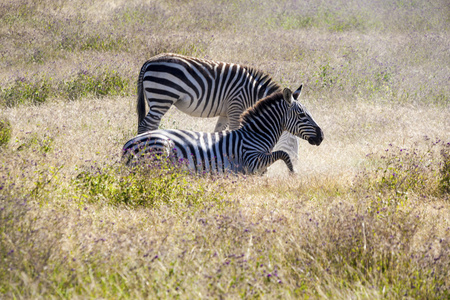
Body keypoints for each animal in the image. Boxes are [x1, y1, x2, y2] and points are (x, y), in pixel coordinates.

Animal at [122, 86, 324, 176]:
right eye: (302, 115)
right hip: (160, 149)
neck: (255, 136)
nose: (321, 136)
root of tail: (127, 145)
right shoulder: (252, 161)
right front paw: (293, 172)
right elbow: (283, 153)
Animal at [135, 53, 300, 159]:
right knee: (146, 125)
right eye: (293, 143)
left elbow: (217, 132)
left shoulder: (225, 113)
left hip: (156, 99)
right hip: (162, 98)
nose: (295, 169)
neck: (252, 93)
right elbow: (235, 131)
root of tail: (149, 61)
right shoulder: (236, 107)